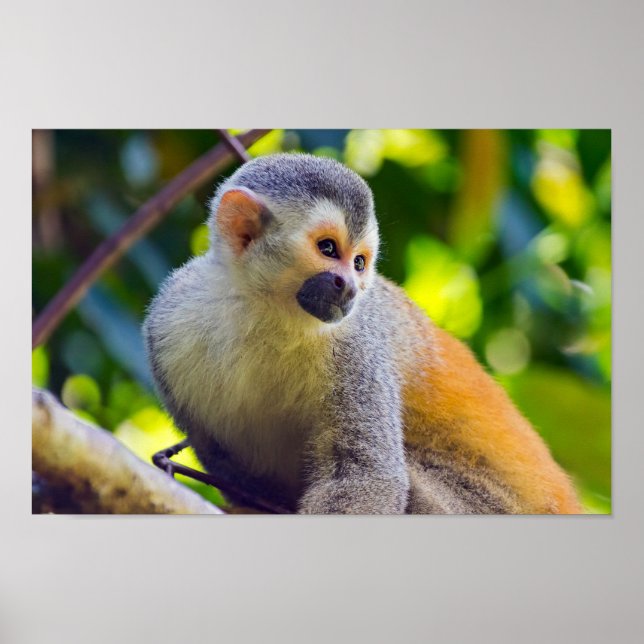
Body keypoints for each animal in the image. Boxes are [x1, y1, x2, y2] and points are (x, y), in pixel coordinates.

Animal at [143, 152, 582, 514]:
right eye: (328, 249)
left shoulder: (356, 346)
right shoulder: (166, 323)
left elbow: (366, 473)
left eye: (358, 262)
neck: (263, 310)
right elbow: (234, 472)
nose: (351, 288)